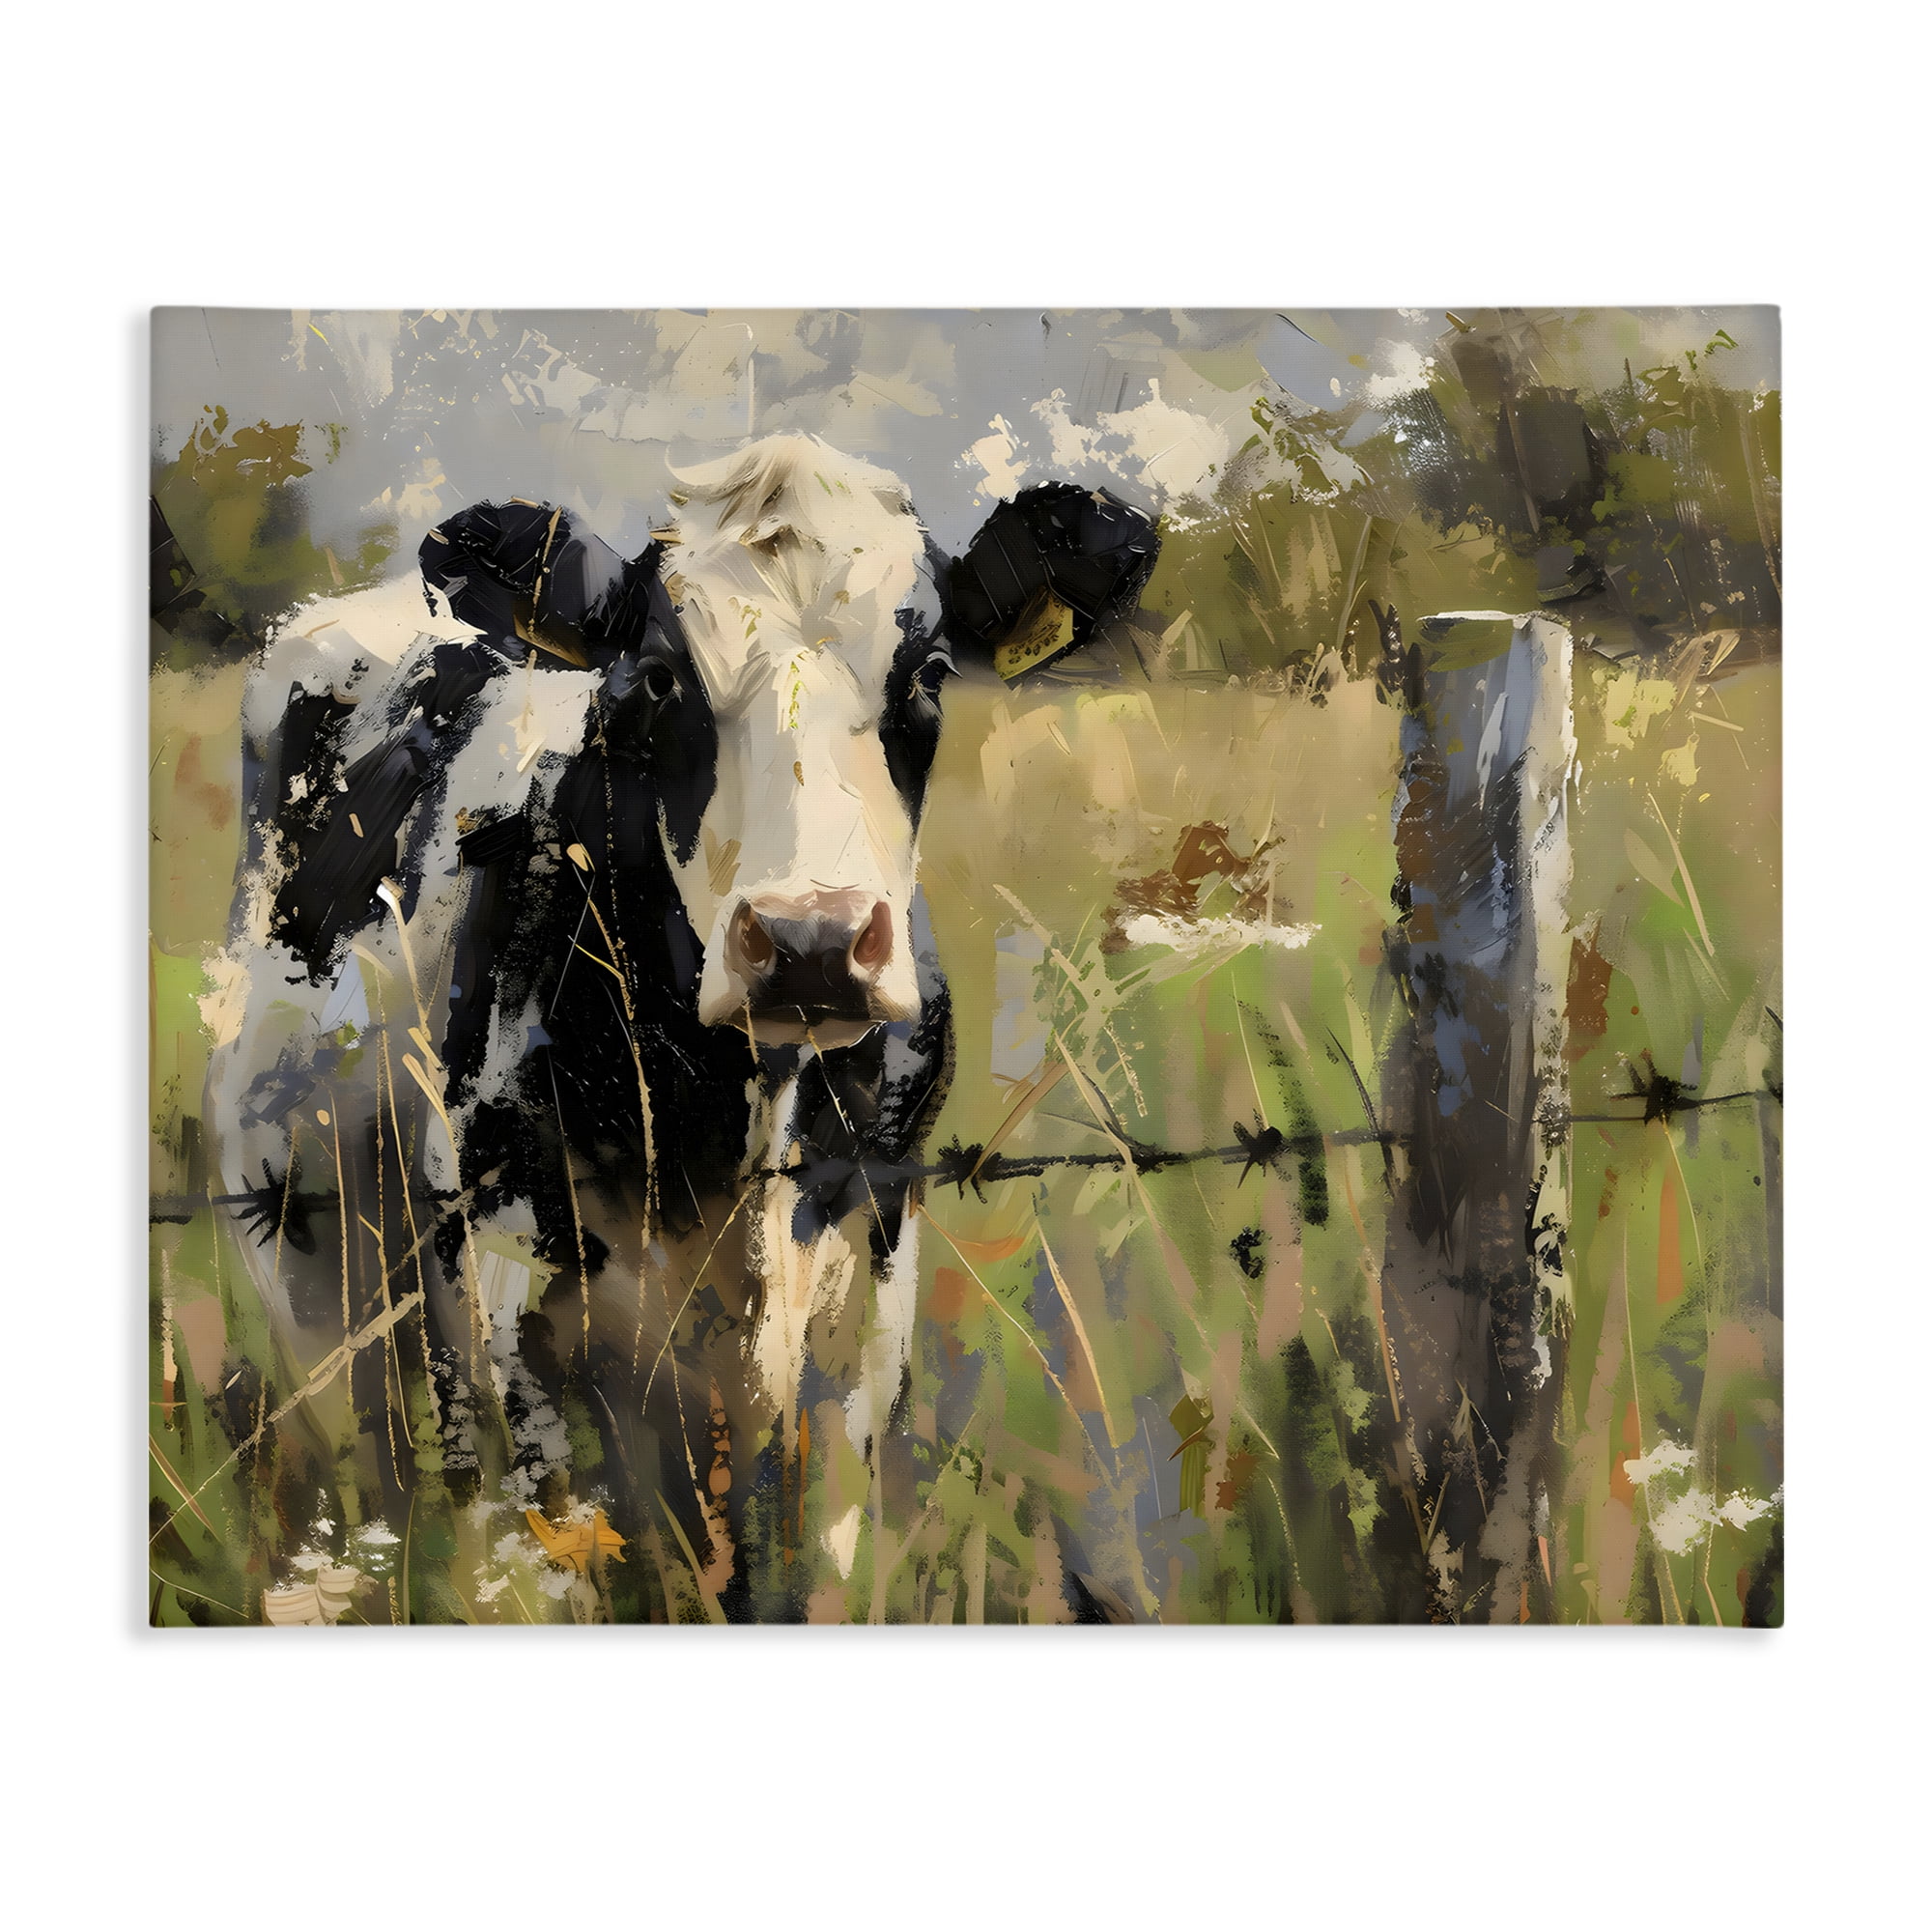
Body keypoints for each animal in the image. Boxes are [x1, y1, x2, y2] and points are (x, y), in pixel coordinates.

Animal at [206, 435, 1159, 1618]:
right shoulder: (511, 1292)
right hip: (300, 1231)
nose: (809, 940)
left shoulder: (865, 1282)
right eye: (659, 676)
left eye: (930, 673)